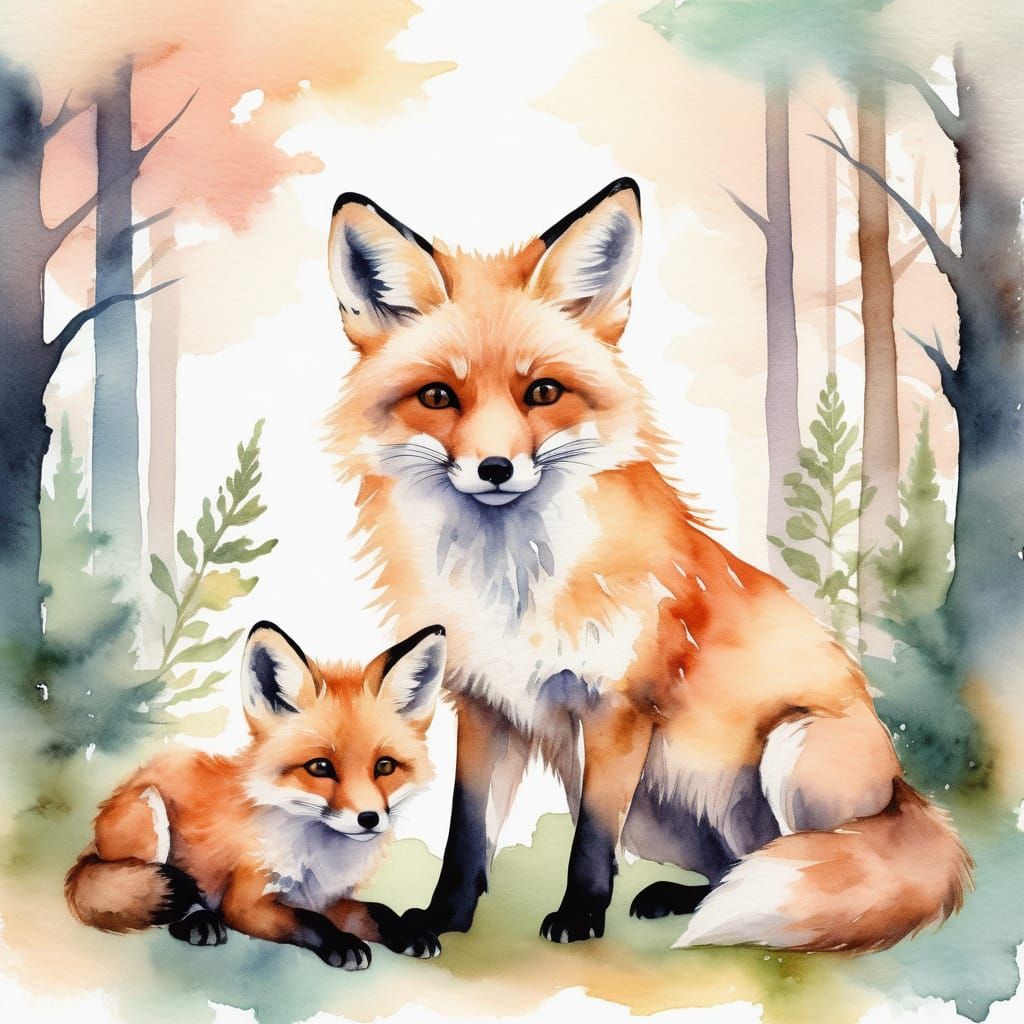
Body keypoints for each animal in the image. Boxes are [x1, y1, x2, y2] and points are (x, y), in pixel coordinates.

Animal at [65, 620, 448, 968]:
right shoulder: (247, 904)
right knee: (159, 902)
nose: (369, 819)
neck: (318, 856)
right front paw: (342, 943)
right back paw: (198, 921)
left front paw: (408, 932)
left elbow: (378, 911)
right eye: (320, 767)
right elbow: (309, 921)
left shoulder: (326, 897)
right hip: (149, 814)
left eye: (384, 766)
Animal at [324, 178, 972, 954]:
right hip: (662, 817)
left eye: (543, 392)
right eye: (438, 397)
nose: (495, 468)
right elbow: (467, 835)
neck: (512, 582)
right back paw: (684, 898)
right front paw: (442, 921)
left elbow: (590, 839)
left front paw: (578, 917)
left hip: (789, 750)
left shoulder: (618, 708)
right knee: (738, 863)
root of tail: (907, 794)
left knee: (811, 864)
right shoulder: (486, 705)